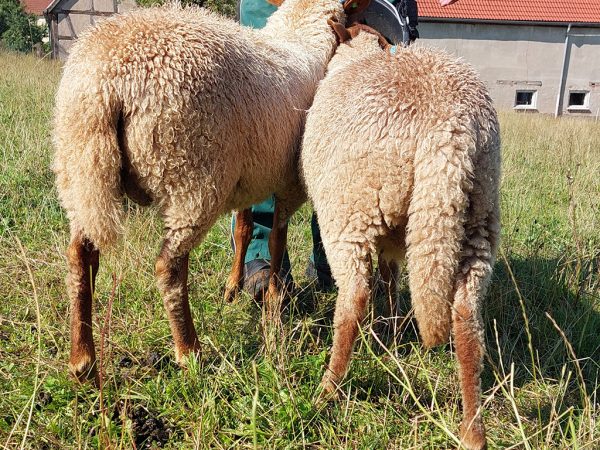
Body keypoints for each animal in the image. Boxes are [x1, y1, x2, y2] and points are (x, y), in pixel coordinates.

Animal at [52, 0, 356, 384]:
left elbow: (245, 229)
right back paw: (189, 352)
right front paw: (274, 299)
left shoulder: (250, 175)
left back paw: (83, 361)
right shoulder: (289, 184)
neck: (300, 34)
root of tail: (109, 80)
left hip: (81, 170)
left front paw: (233, 287)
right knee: (169, 266)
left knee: (81, 258)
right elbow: (276, 238)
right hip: (191, 178)